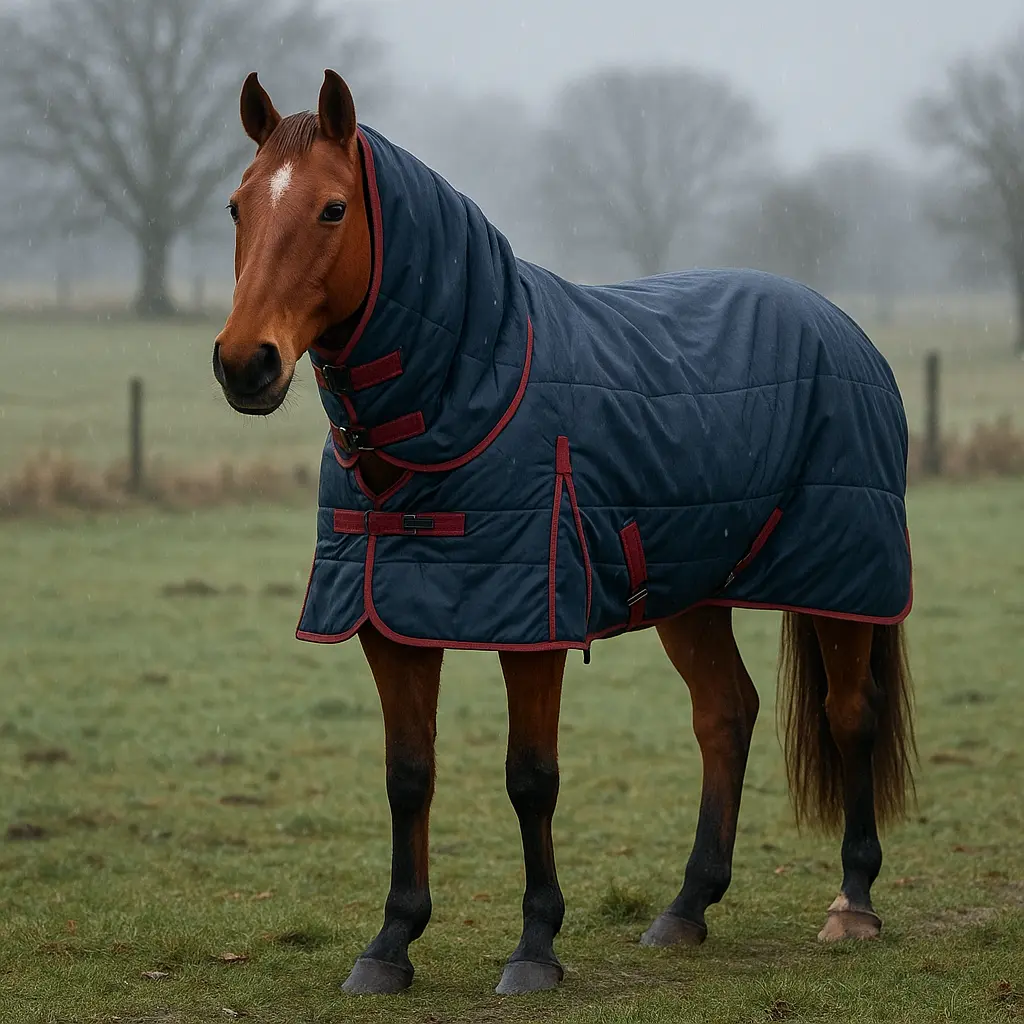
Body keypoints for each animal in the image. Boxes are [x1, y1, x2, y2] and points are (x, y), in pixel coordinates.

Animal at [213, 70, 915, 996]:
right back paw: (687, 907)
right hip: (693, 589)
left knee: (850, 715)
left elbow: (531, 779)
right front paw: (391, 943)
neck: (462, 394)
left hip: (843, 580)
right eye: (237, 206)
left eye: (332, 209)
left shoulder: (532, 625)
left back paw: (853, 904)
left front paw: (535, 947)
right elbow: (408, 776)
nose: (244, 363)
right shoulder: (388, 620)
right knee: (725, 714)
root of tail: (843, 325)